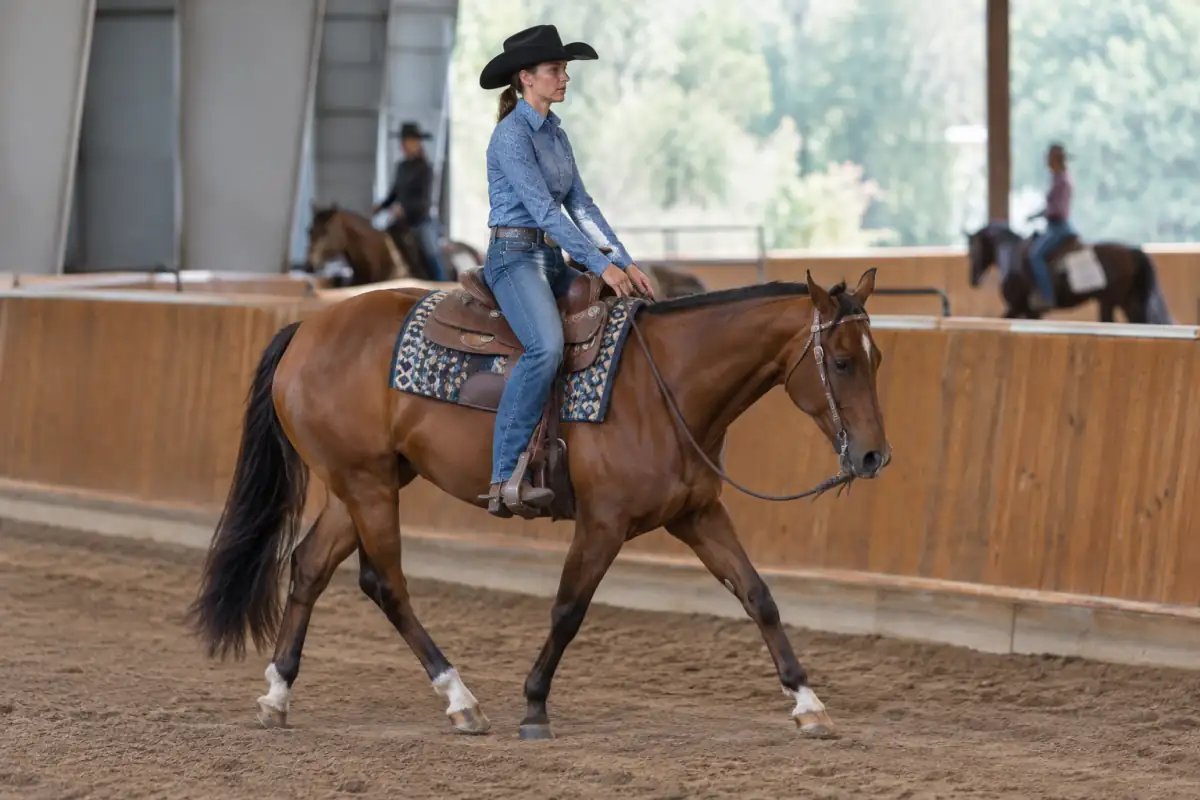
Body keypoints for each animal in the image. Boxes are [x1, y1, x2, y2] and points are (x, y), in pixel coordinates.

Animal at [185, 266, 891, 742]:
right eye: (842, 361)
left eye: (877, 357)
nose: (872, 457)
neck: (666, 383)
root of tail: (308, 328)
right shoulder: (604, 523)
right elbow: (567, 610)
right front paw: (533, 705)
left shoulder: (697, 515)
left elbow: (758, 596)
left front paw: (808, 703)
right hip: (367, 485)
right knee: (386, 582)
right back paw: (460, 698)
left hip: (364, 481)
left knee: (309, 566)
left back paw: (278, 694)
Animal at [964, 221, 1174, 323]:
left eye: (972, 250)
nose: (973, 280)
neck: (1012, 256)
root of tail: (1132, 251)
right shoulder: (1030, 312)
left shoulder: (1018, 307)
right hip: (1127, 301)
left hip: (1110, 301)